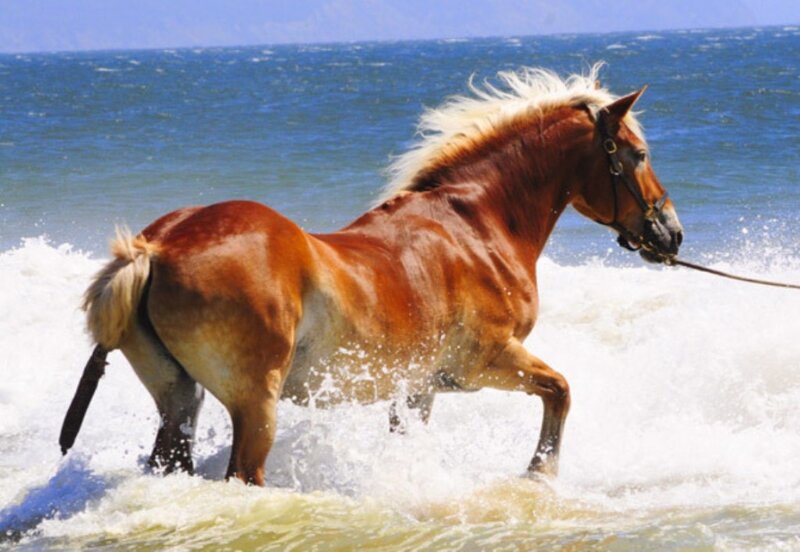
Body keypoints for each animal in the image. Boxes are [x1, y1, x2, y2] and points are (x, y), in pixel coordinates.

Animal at [62, 64, 683, 486]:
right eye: (636, 153)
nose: (670, 234)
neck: (475, 225)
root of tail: (157, 246)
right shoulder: (486, 362)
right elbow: (560, 391)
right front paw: (539, 474)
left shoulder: (418, 388)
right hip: (256, 404)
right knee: (245, 476)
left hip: (178, 399)